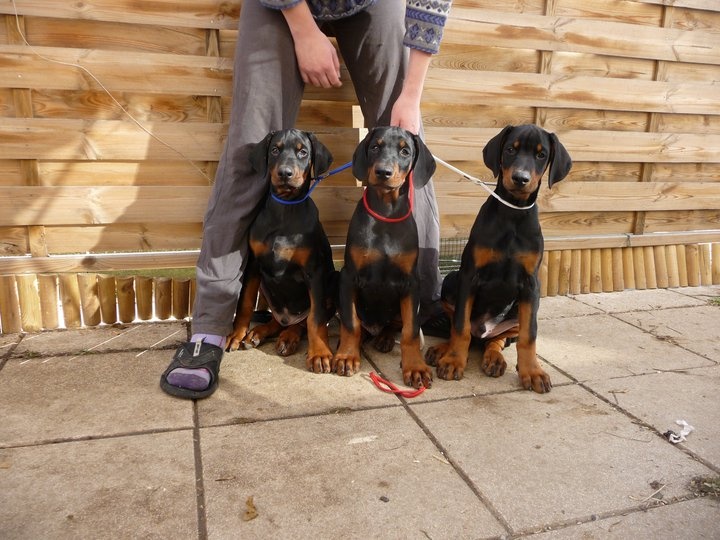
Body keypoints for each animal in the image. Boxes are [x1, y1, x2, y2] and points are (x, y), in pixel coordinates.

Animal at [225, 129, 338, 374]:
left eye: (303, 152)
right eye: (275, 150)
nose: (285, 173)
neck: (285, 209)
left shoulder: (313, 271)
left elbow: (316, 318)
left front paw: (320, 353)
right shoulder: (253, 264)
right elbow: (245, 302)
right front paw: (236, 335)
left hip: (333, 281)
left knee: (304, 322)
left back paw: (289, 338)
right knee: (279, 321)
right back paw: (257, 334)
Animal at [334, 126, 436, 388]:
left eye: (405, 151)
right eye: (375, 147)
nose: (383, 172)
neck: (386, 213)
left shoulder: (411, 283)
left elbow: (411, 331)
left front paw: (415, 367)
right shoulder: (348, 277)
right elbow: (351, 323)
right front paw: (347, 356)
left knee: (394, 324)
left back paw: (385, 338)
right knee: (359, 325)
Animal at [424, 123, 572, 392]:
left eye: (541, 154)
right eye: (511, 149)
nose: (520, 179)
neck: (513, 213)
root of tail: (482, 330)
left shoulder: (531, 284)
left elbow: (529, 335)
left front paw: (532, 371)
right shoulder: (469, 276)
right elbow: (460, 326)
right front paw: (453, 361)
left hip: (519, 311)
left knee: (497, 340)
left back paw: (494, 358)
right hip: (451, 279)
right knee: (460, 327)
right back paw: (443, 350)